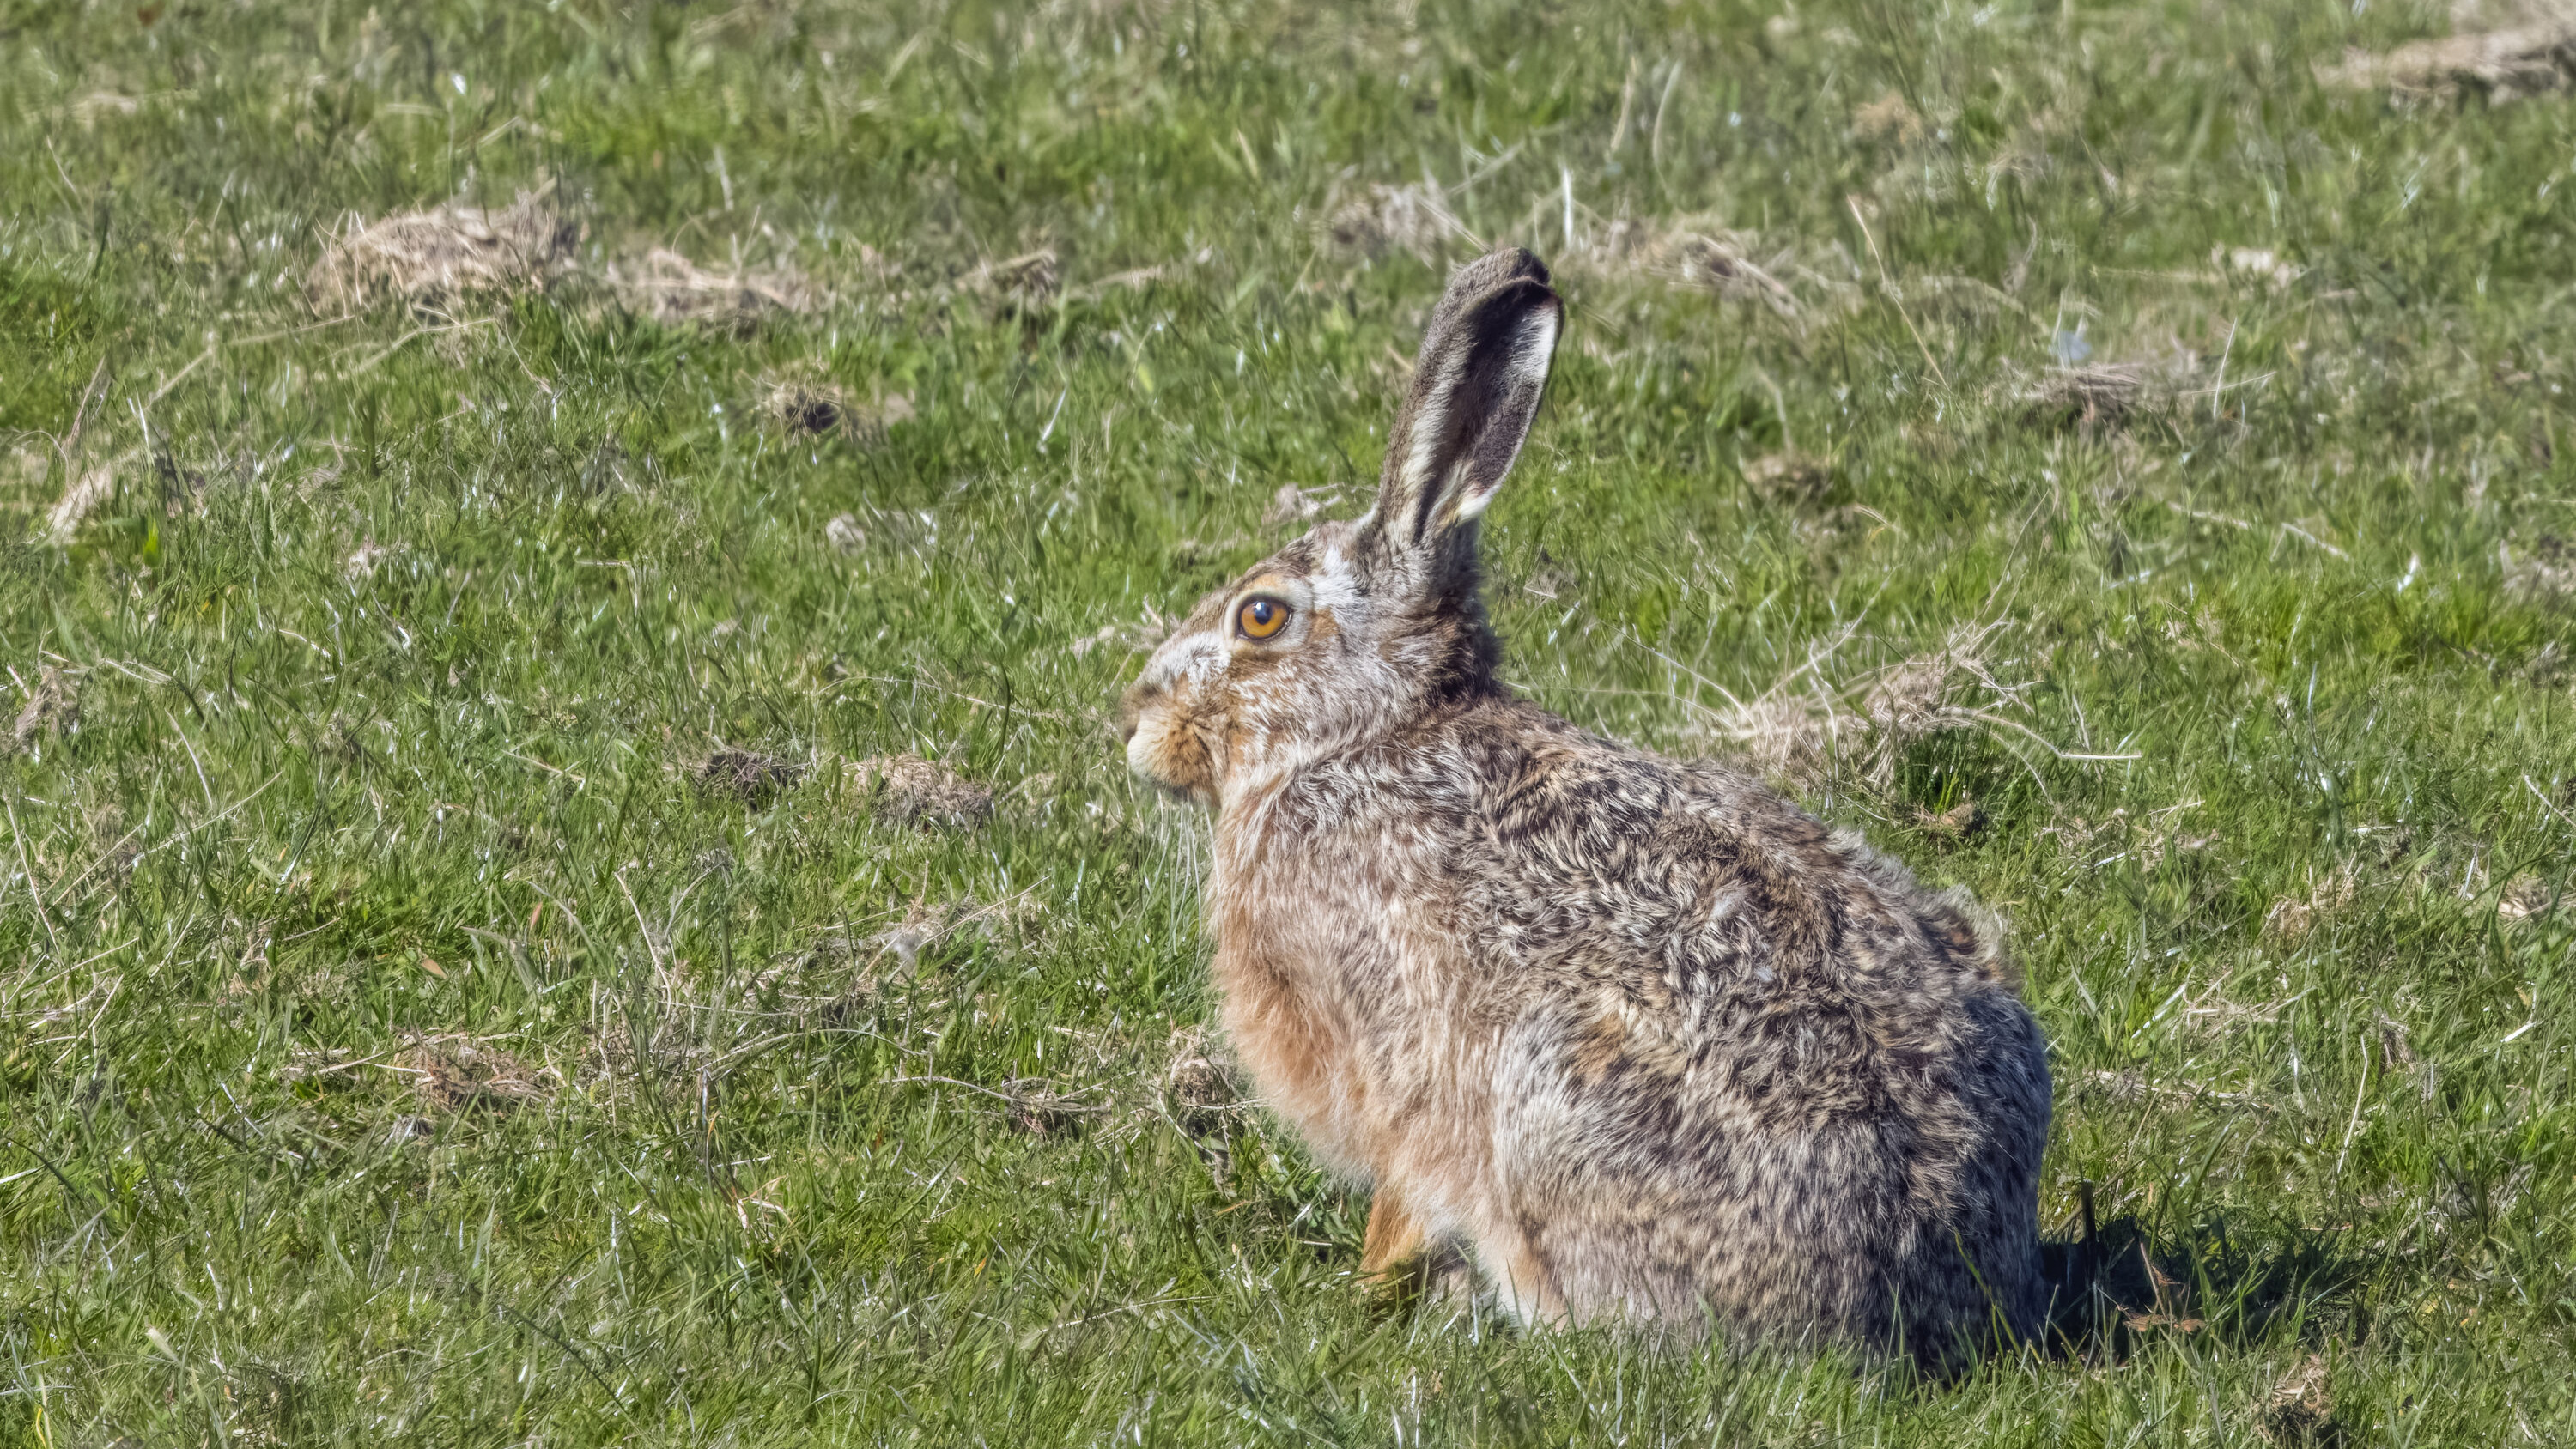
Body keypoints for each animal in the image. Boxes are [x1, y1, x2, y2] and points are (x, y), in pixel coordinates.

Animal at [1117, 247, 2052, 1369]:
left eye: (1260, 616)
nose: (1134, 720)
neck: (1366, 731)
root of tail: (1927, 1283)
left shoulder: (1383, 1042)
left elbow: (1403, 1177)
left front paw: (1367, 1288)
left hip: (1553, 1094)